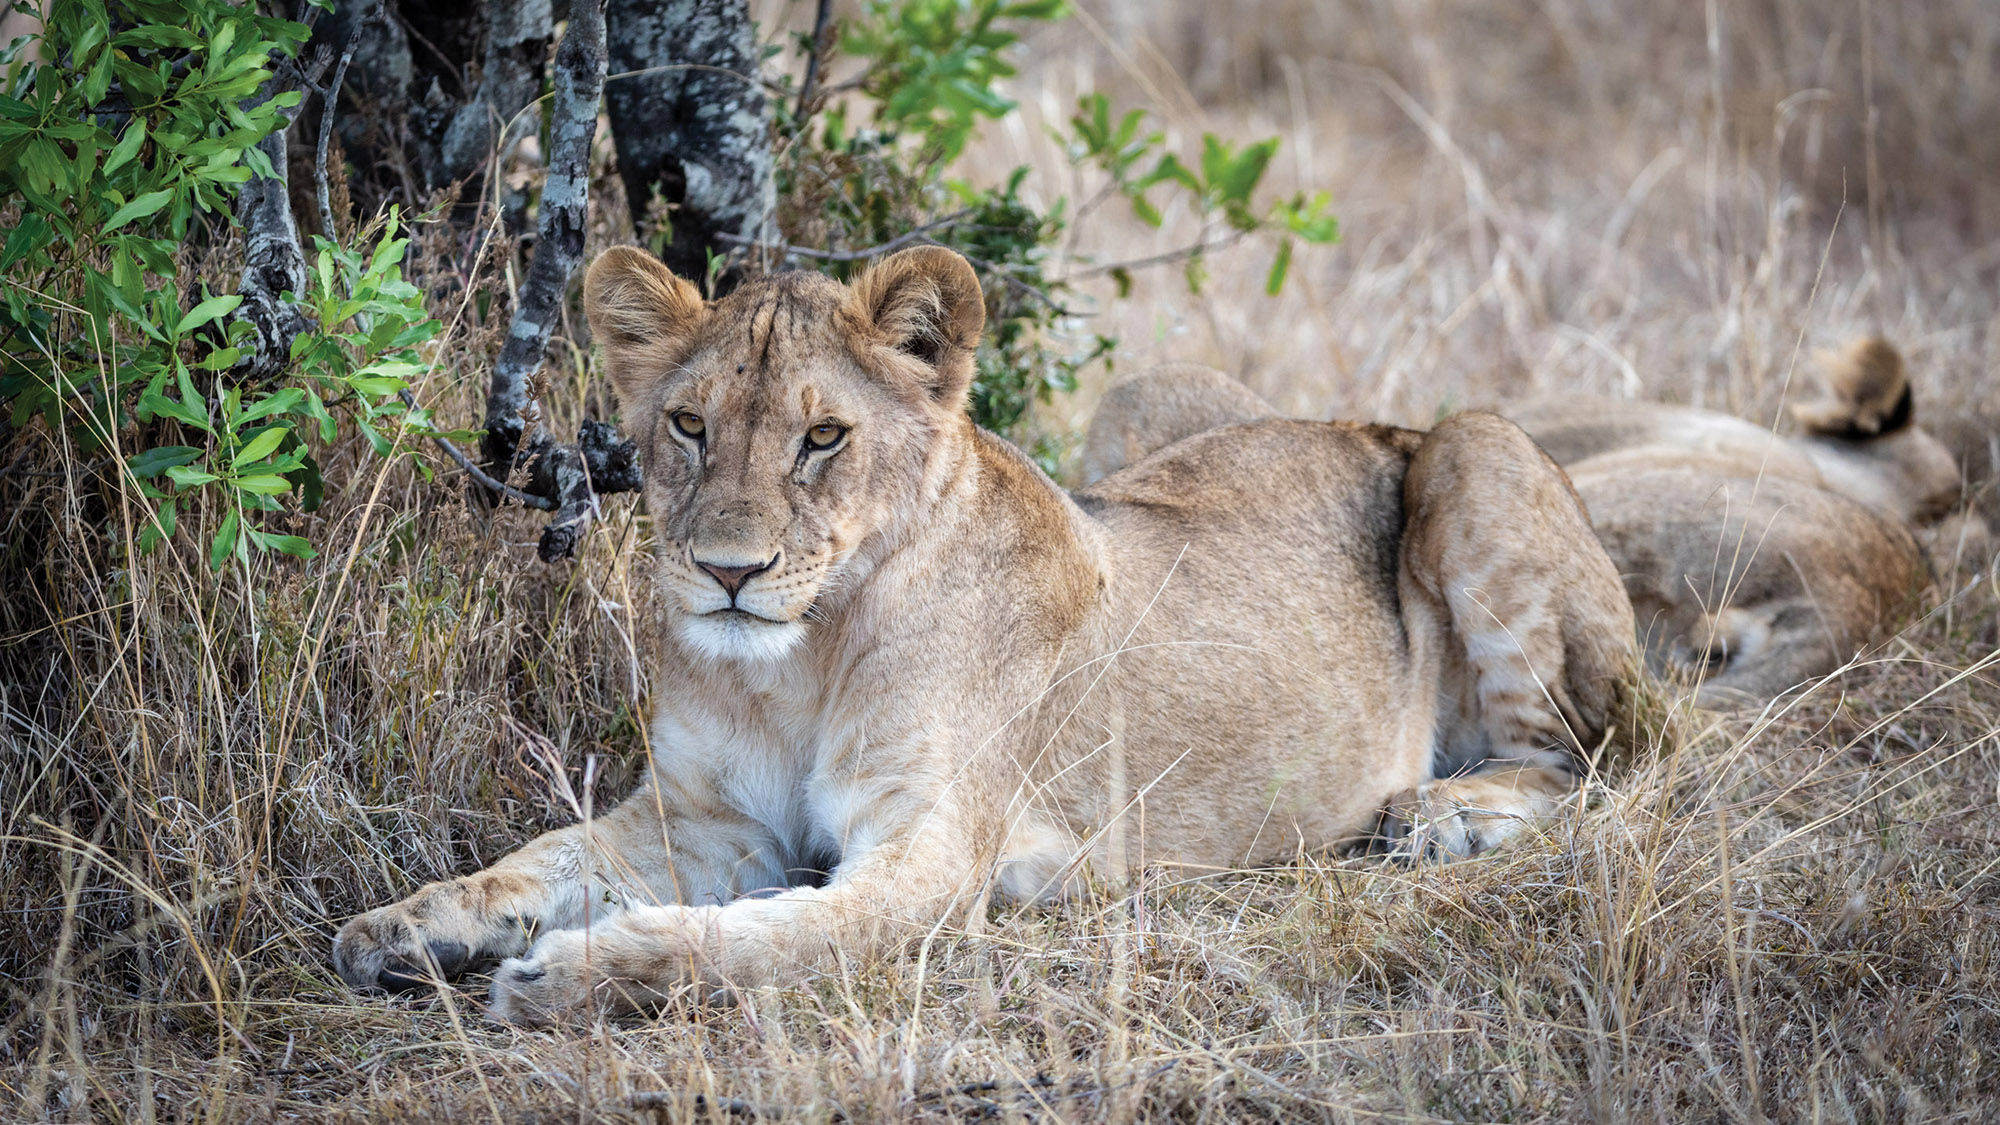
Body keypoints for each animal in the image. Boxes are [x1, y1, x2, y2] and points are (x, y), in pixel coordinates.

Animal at [334, 246, 1635, 1024]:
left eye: (821, 438)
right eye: (689, 425)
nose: (726, 574)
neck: (799, 661)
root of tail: (1377, 420)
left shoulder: (929, 861)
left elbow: (758, 943)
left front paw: (570, 975)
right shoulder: (701, 823)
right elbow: (536, 860)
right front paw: (398, 925)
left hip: (1473, 443)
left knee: (1595, 753)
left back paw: (1443, 813)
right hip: (1148, 405)